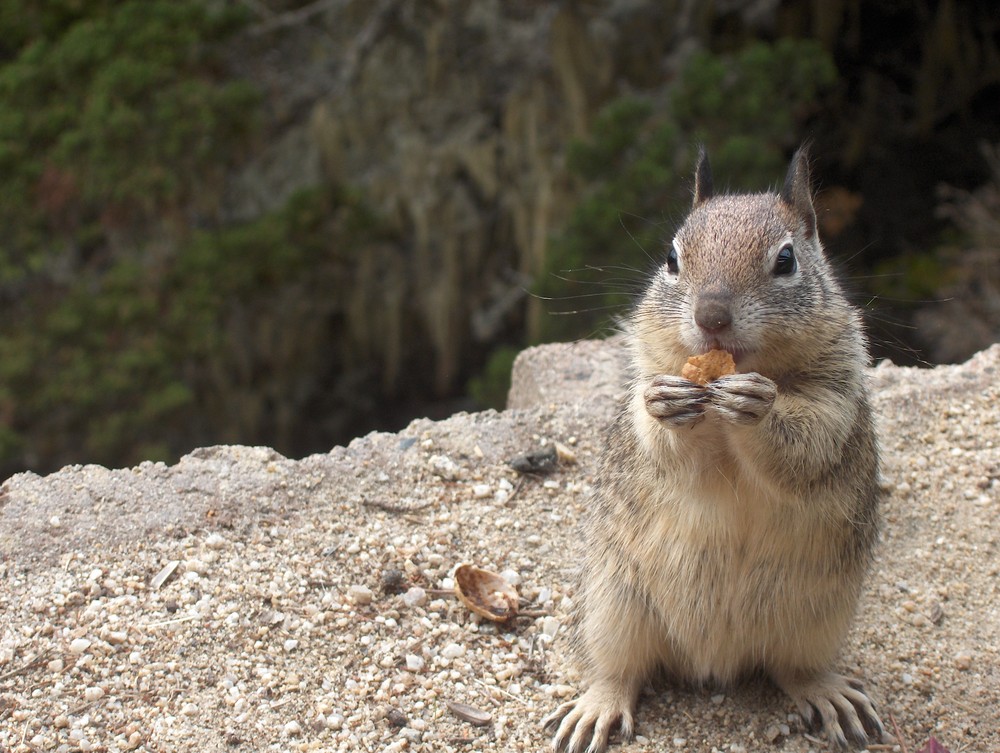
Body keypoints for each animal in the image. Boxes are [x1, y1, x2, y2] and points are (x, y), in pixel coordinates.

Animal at [548, 148, 884, 752]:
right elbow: (659, 441)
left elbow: (807, 446)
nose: (711, 317)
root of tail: (714, 661)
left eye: (786, 260)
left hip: (817, 619)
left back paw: (828, 693)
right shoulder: (647, 378)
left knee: (794, 669)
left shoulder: (835, 399)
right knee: (618, 670)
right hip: (613, 606)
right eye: (671, 258)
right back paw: (597, 706)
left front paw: (760, 409)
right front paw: (666, 405)